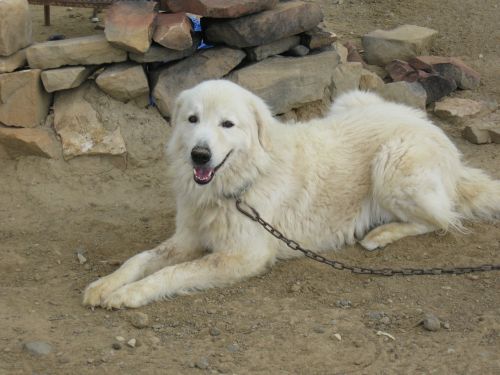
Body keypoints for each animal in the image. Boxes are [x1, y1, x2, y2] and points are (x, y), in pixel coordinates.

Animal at [83, 78, 500, 308]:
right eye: (192, 120)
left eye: (227, 124)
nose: (199, 154)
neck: (239, 184)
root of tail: (433, 130)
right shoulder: (188, 237)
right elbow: (140, 259)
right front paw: (106, 285)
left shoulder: (243, 255)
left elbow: (174, 272)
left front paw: (129, 294)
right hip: (351, 100)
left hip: (392, 163)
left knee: (442, 218)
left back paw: (380, 234)